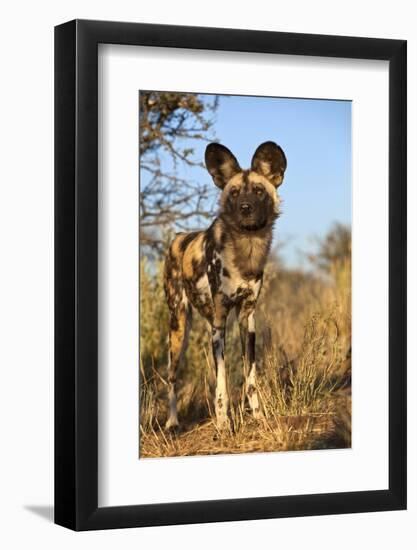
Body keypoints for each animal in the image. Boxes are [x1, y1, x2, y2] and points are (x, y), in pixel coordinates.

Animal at [162, 141, 286, 432]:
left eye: (259, 191)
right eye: (234, 193)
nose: (245, 207)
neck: (246, 250)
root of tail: (178, 237)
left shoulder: (246, 319)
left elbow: (250, 378)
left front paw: (258, 416)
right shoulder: (220, 324)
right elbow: (222, 382)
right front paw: (223, 423)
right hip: (179, 326)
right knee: (172, 376)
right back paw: (172, 423)